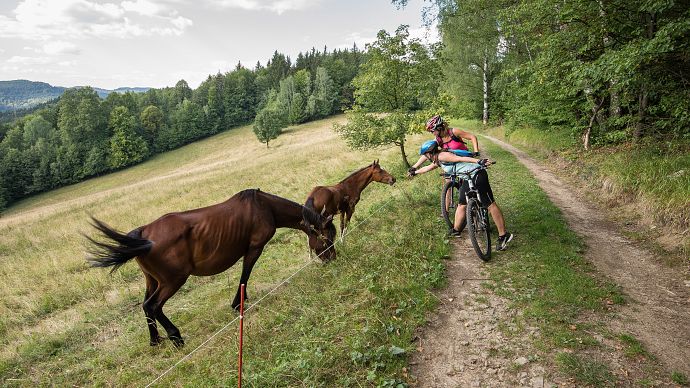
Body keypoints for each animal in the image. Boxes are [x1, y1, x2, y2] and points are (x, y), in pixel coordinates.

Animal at [87, 189, 334, 348]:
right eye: (327, 237)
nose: (332, 259)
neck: (265, 207)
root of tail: (144, 234)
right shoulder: (254, 249)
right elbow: (245, 276)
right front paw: (238, 304)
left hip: (152, 280)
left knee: (146, 306)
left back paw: (155, 341)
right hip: (172, 280)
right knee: (153, 306)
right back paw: (176, 337)